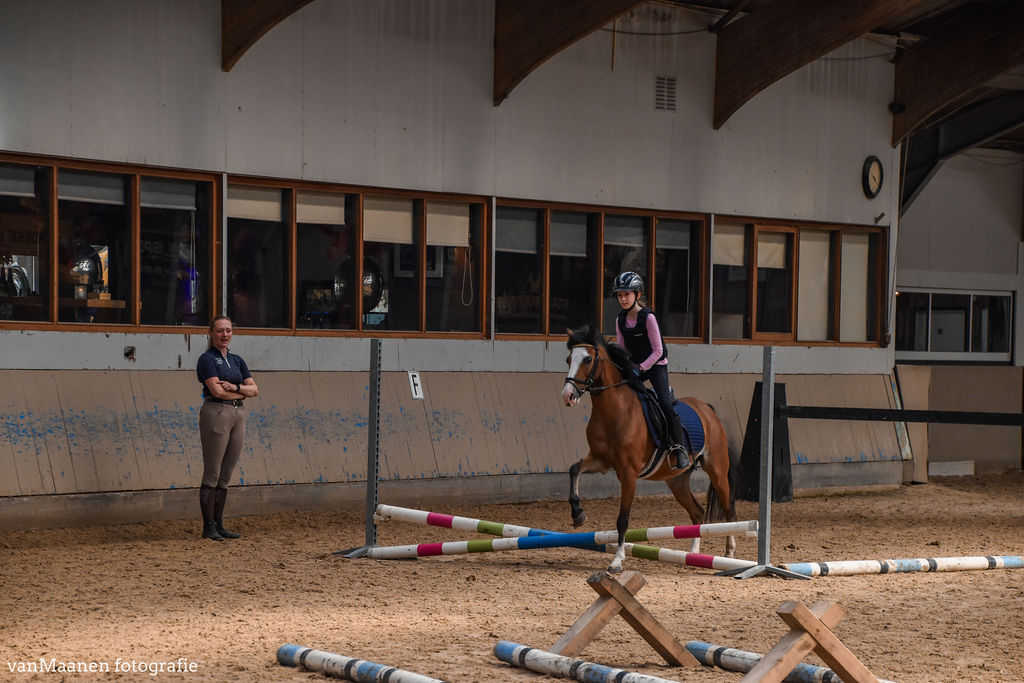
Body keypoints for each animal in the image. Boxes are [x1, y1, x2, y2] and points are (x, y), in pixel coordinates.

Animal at [565, 325, 741, 573]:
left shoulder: (628, 473)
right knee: (697, 512)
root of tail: (707, 409)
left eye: (588, 359)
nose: (568, 396)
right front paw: (578, 514)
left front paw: (617, 561)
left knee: (728, 509)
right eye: (569, 359)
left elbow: (623, 519)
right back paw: (693, 554)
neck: (614, 411)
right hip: (676, 480)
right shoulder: (600, 461)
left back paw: (729, 551)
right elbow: (574, 469)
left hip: (717, 470)